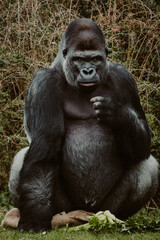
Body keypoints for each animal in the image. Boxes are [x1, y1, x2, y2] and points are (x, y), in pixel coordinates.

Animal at [7, 18, 159, 232]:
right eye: (79, 59)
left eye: (95, 58)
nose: (88, 71)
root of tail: (86, 212)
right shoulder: (43, 83)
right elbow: (45, 147)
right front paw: (34, 219)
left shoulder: (124, 78)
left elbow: (142, 143)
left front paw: (119, 115)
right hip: (66, 208)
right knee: (23, 157)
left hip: (104, 207)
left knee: (148, 165)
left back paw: (117, 219)